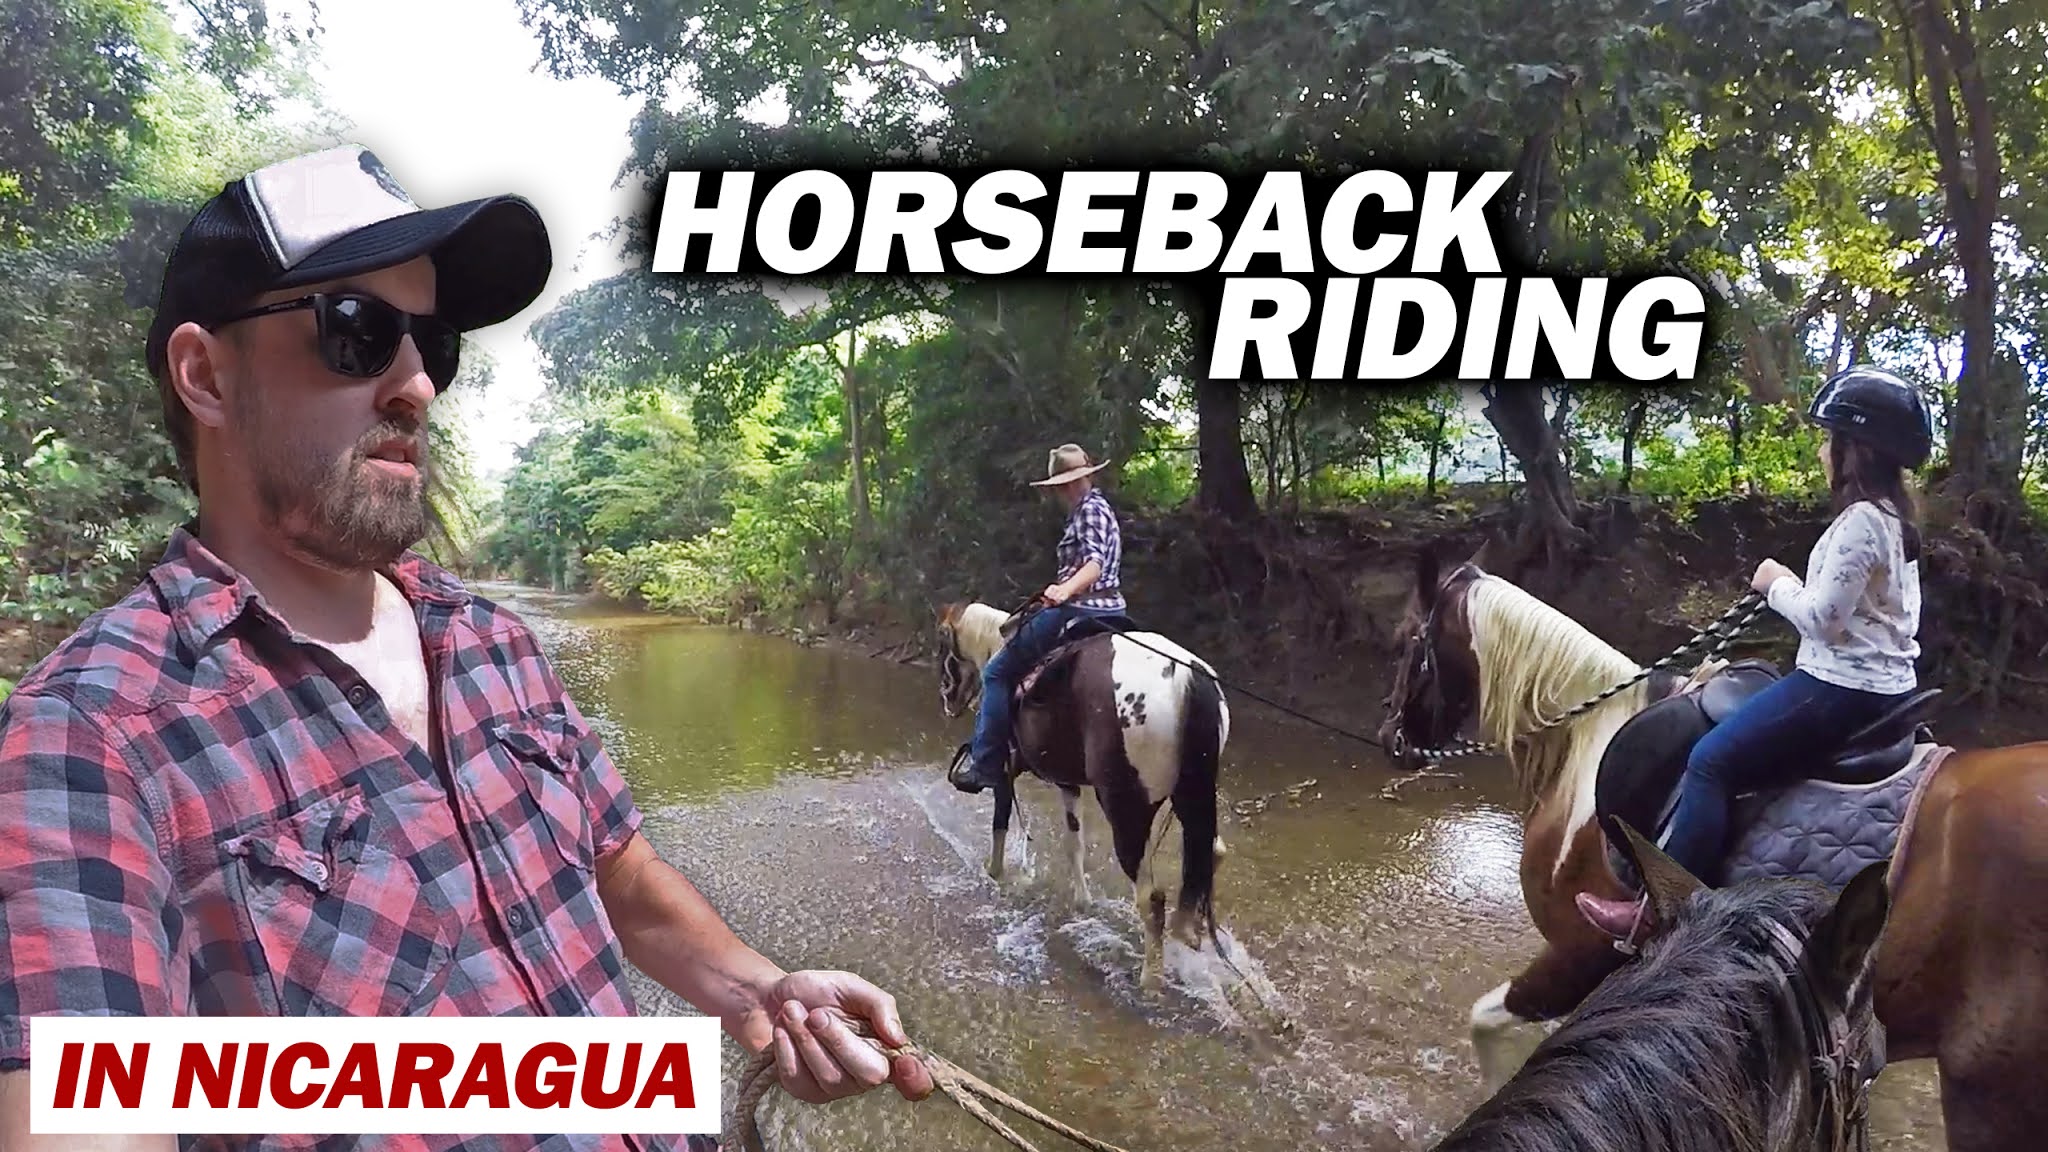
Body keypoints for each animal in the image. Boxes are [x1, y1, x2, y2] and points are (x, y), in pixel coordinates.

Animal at [933, 602, 1228, 988]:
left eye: (942, 648)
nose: (947, 699)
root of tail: (1186, 679)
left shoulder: (1005, 769)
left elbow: (999, 821)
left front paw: (994, 872)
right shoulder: (1068, 785)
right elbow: (1074, 843)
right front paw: (1081, 901)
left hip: (1126, 809)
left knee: (1151, 898)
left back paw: (1150, 980)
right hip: (1190, 798)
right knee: (1211, 852)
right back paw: (1188, 932)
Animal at [1384, 545, 2048, 1147]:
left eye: (1406, 641)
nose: (1392, 737)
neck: (1588, 746)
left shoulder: (1580, 953)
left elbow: (1488, 1024)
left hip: (1987, 1093)